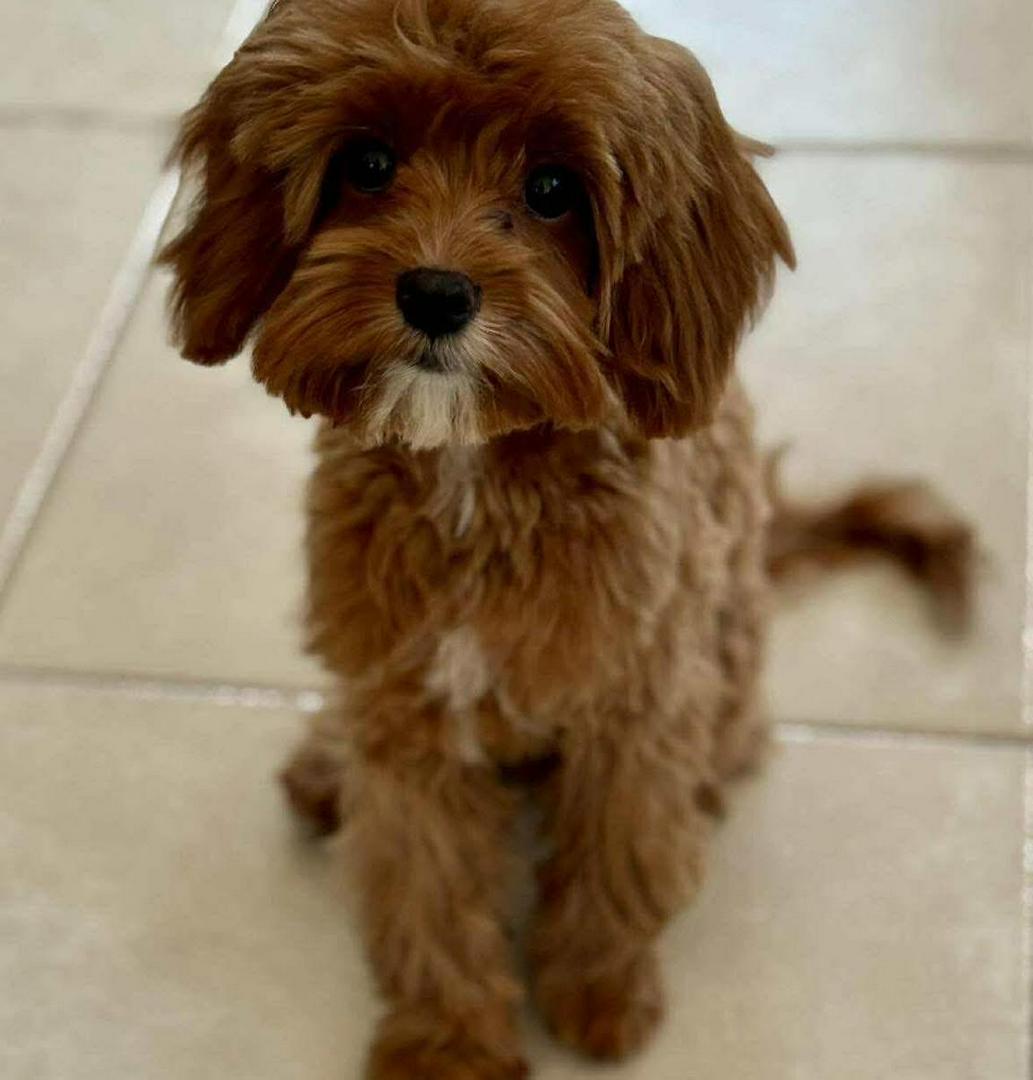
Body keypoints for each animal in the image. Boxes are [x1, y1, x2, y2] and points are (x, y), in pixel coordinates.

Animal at [161, 1, 972, 1076]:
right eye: (368, 162)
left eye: (551, 188)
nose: (435, 292)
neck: (473, 476)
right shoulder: (411, 715)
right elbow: (424, 885)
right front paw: (447, 1042)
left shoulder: (634, 703)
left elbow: (615, 857)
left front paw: (598, 991)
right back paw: (325, 767)